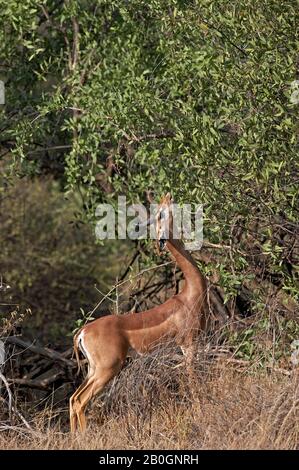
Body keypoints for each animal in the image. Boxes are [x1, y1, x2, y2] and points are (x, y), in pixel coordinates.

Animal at [69, 193, 209, 432]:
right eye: (160, 213)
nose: (169, 196)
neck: (189, 294)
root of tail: (83, 331)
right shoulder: (188, 344)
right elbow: (193, 383)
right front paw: (201, 416)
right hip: (107, 369)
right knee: (80, 400)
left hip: (93, 370)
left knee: (72, 399)